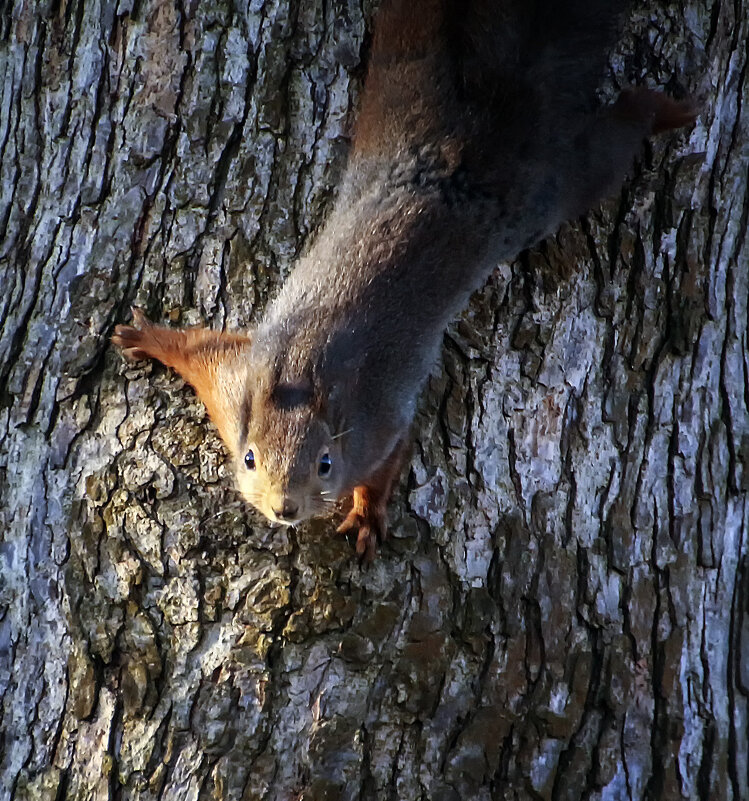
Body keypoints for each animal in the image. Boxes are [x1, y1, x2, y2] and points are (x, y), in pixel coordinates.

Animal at [111, 0, 696, 560]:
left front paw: (367, 516)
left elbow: (387, 463)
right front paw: (146, 336)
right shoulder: (235, 387)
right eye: (249, 458)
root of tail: (477, 130)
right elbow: (200, 350)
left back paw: (666, 110)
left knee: (609, 147)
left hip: (548, 190)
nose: (285, 508)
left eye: (326, 464)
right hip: (410, 75)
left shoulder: (378, 423)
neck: (301, 382)